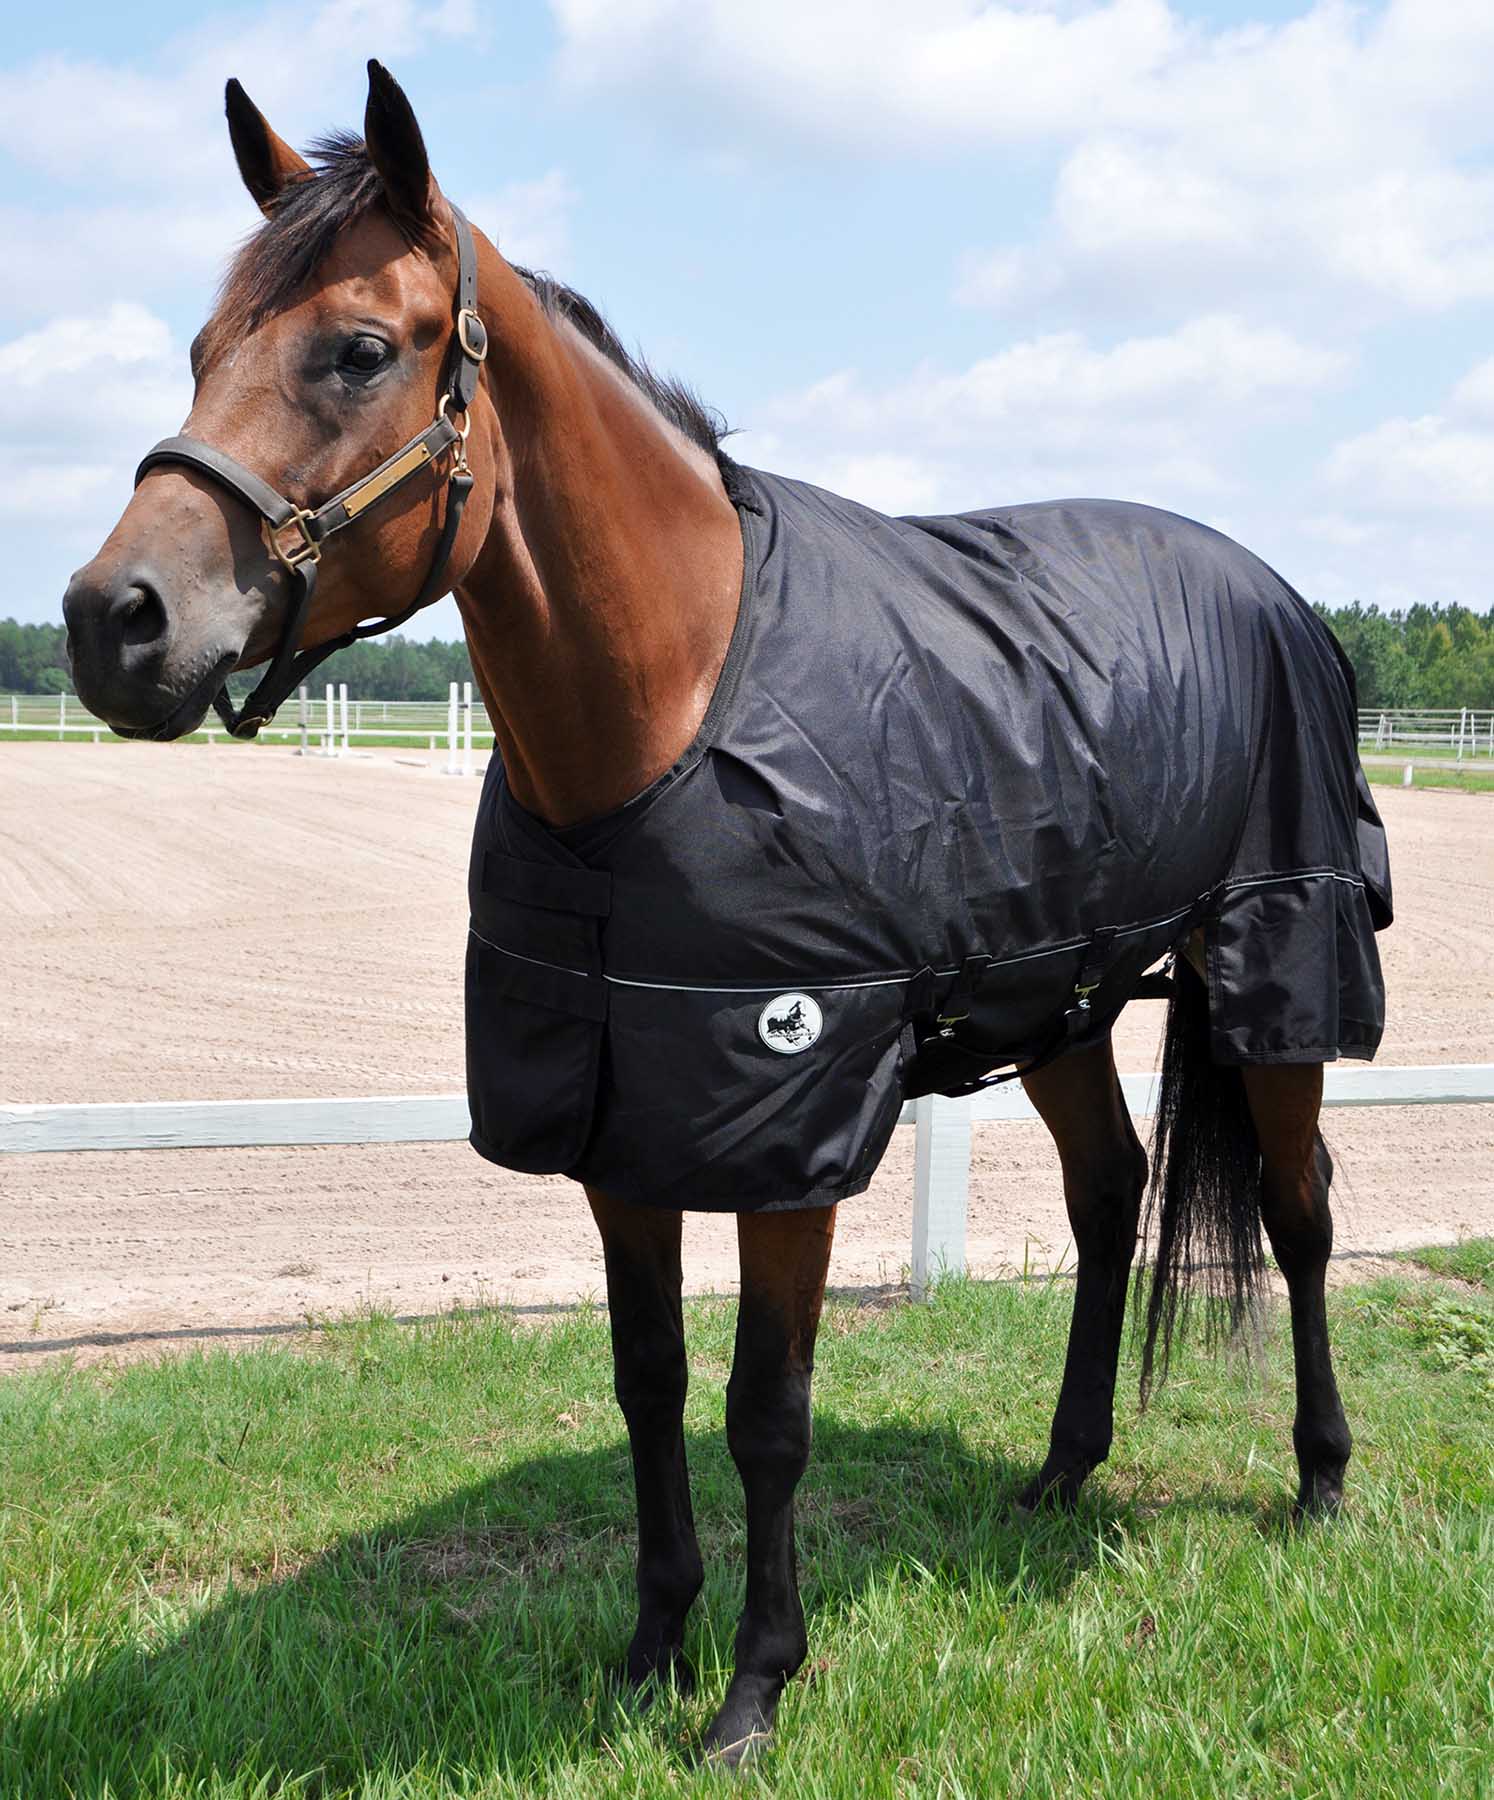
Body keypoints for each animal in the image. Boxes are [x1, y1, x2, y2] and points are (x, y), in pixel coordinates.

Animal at [63, 63, 1391, 1768]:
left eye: (357, 348)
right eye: (198, 347)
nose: (112, 623)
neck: (674, 705)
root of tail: (1275, 593)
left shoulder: (789, 1126)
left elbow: (765, 1413)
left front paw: (755, 1685)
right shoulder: (617, 1117)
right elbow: (650, 1382)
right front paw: (648, 1651)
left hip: (1273, 968)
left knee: (1298, 1215)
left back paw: (1320, 1481)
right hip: (1061, 1001)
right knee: (1110, 1196)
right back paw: (1058, 1472)